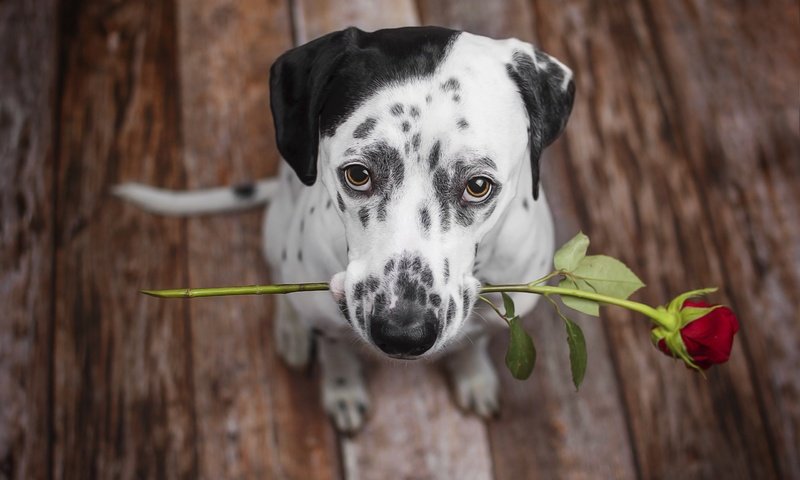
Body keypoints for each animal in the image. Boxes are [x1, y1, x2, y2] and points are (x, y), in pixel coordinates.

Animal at [114, 26, 576, 434]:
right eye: (358, 174)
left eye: (478, 185)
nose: (402, 333)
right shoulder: (327, 318)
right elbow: (334, 351)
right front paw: (341, 388)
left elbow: (474, 341)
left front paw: (474, 375)